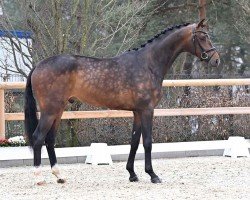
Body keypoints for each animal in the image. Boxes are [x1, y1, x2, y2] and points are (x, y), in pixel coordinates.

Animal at [23, 19, 219, 185]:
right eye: (203, 37)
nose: (216, 59)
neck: (149, 63)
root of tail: (38, 66)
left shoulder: (137, 112)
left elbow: (134, 142)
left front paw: (132, 174)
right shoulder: (147, 110)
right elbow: (147, 142)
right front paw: (153, 175)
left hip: (58, 110)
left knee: (49, 139)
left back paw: (59, 176)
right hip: (50, 111)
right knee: (38, 137)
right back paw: (39, 178)